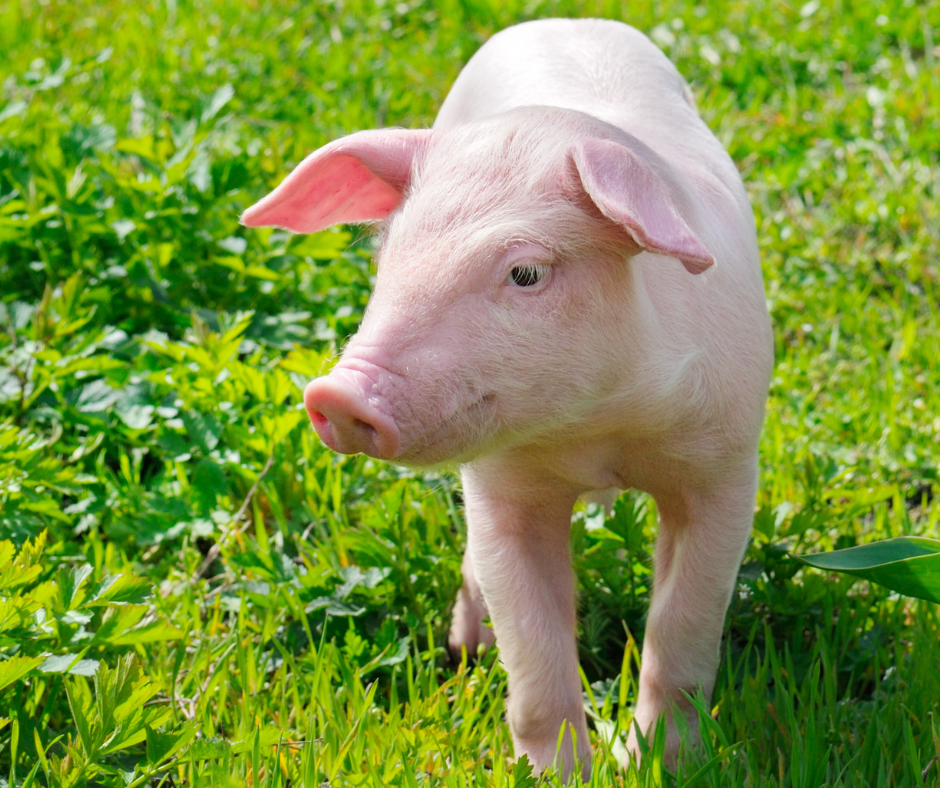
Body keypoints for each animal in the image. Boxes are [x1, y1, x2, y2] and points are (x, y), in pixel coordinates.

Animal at [242, 17, 773, 780]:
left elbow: (683, 630)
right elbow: (532, 653)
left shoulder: (725, 466)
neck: (599, 431)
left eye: (526, 272)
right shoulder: (502, 489)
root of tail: (565, 21)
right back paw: (466, 649)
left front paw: (658, 767)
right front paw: (559, 775)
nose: (337, 392)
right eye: (387, 257)